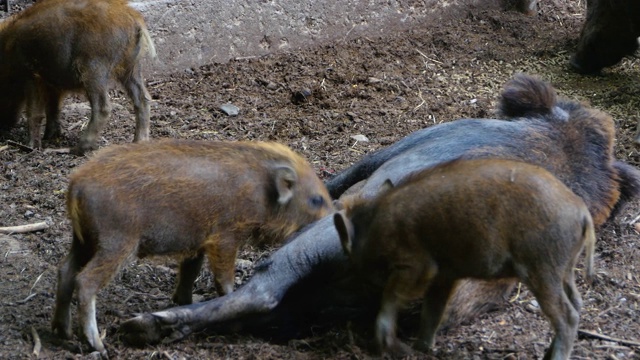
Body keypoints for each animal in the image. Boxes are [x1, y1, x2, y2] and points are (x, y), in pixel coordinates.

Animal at [0, 0, 156, 154]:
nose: (6, 125)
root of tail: (134, 19)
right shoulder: (52, 84)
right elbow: (52, 107)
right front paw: (49, 137)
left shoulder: (31, 74)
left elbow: (34, 112)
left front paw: (31, 147)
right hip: (131, 67)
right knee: (143, 98)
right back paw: (138, 142)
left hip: (94, 69)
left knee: (103, 107)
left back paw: (75, 149)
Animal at [52, 139, 332, 356]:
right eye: (316, 200)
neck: (261, 192)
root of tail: (75, 185)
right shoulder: (225, 236)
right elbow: (224, 278)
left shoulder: (197, 243)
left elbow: (190, 273)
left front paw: (183, 301)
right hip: (115, 242)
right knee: (85, 281)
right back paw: (96, 344)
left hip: (84, 241)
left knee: (65, 271)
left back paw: (63, 333)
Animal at [338, 159, 596, 358]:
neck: (372, 226)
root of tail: (582, 211)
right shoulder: (443, 276)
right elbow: (432, 311)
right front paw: (422, 350)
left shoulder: (418, 267)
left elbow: (392, 299)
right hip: (564, 269)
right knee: (577, 302)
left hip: (542, 269)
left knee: (567, 316)